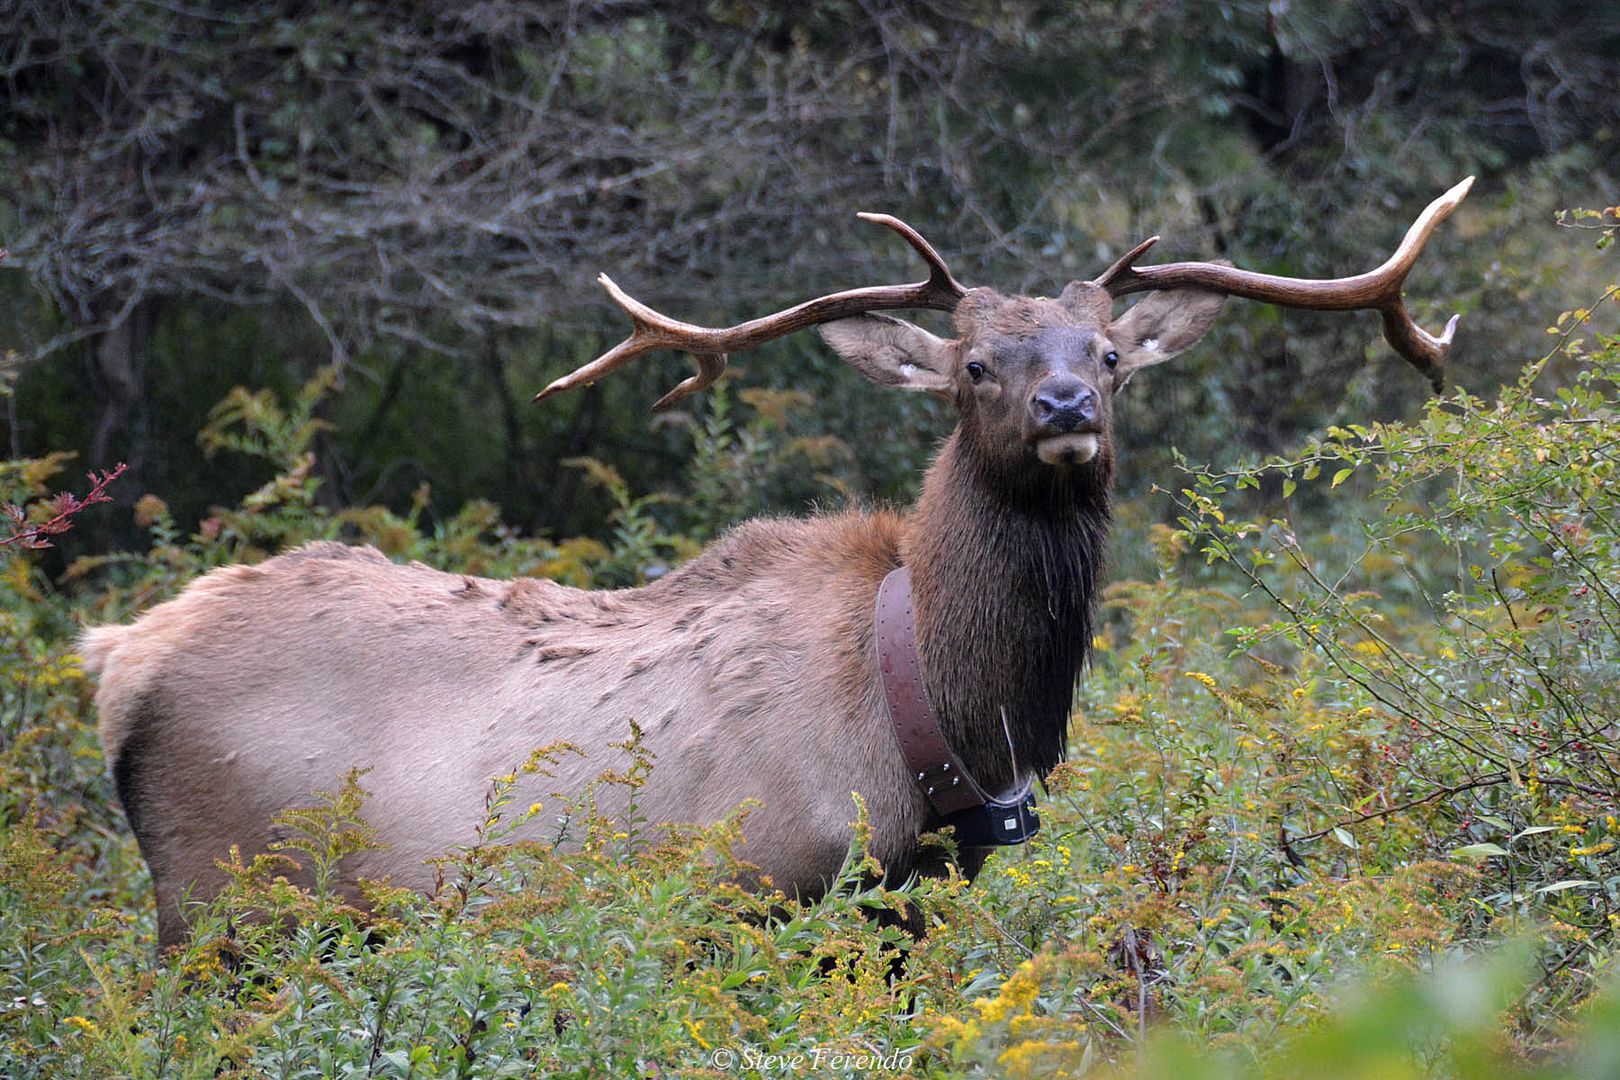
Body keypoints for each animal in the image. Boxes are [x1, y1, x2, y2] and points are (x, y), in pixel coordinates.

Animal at [84, 179, 1473, 949]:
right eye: (977, 363)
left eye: (1114, 353)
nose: (1068, 405)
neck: (938, 725)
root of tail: (117, 658)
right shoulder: (758, 888)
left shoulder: (910, 904)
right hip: (228, 902)